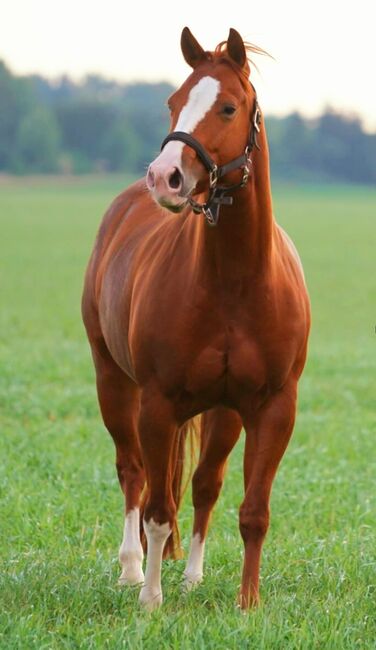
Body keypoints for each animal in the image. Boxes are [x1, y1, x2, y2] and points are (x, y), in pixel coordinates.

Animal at [83, 27, 312, 612]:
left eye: (228, 106)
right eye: (173, 102)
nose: (165, 177)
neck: (235, 280)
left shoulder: (272, 408)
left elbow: (251, 511)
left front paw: (248, 604)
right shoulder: (159, 403)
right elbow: (158, 508)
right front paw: (150, 602)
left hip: (222, 413)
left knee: (205, 483)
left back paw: (190, 576)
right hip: (114, 383)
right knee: (134, 473)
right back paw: (133, 570)